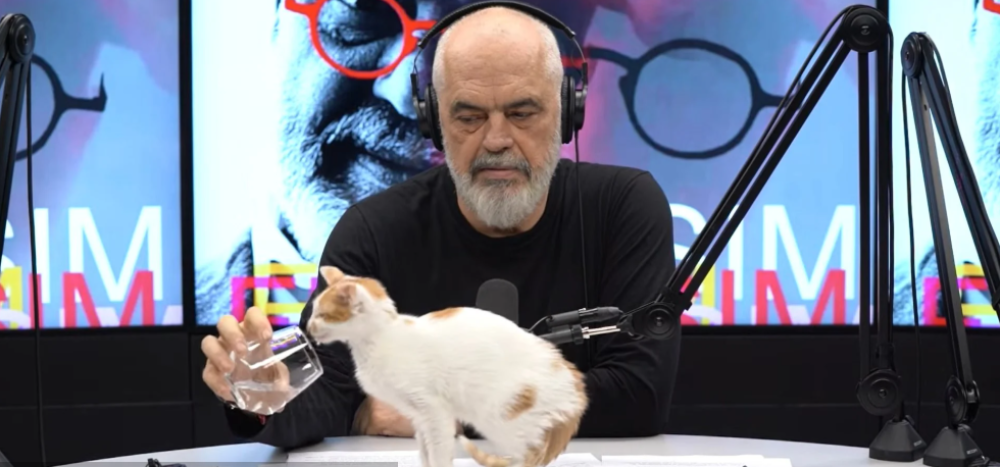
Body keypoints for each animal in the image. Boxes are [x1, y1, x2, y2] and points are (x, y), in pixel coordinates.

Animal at [305, 265, 589, 467]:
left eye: (322, 315)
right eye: (313, 312)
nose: (307, 327)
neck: (381, 337)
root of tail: (576, 391)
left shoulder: (435, 412)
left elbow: (439, 454)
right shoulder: (419, 418)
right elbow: (425, 453)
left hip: (505, 420)